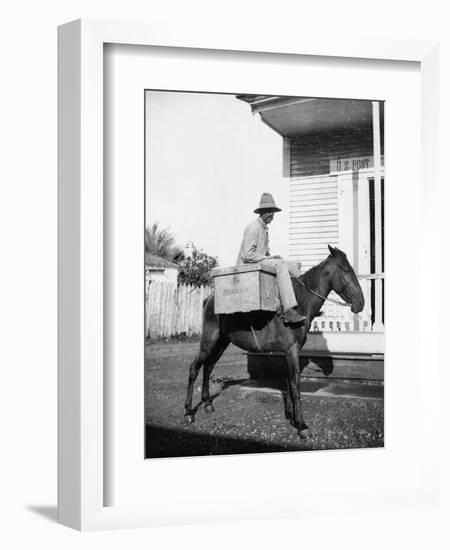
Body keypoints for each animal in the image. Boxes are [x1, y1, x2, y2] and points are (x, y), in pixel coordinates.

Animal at [185, 246, 364, 440]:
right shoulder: (292, 350)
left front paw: (292, 416)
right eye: (345, 269)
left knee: (208, 367)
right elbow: (295, 384)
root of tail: (209, 298)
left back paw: (207, 404)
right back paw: (188, 413)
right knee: (195, 368)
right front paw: (301, 425)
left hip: (221, 342)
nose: (361, 303)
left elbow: (289, 382)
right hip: (209, 340)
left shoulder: (289, 352)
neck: (300, 303)